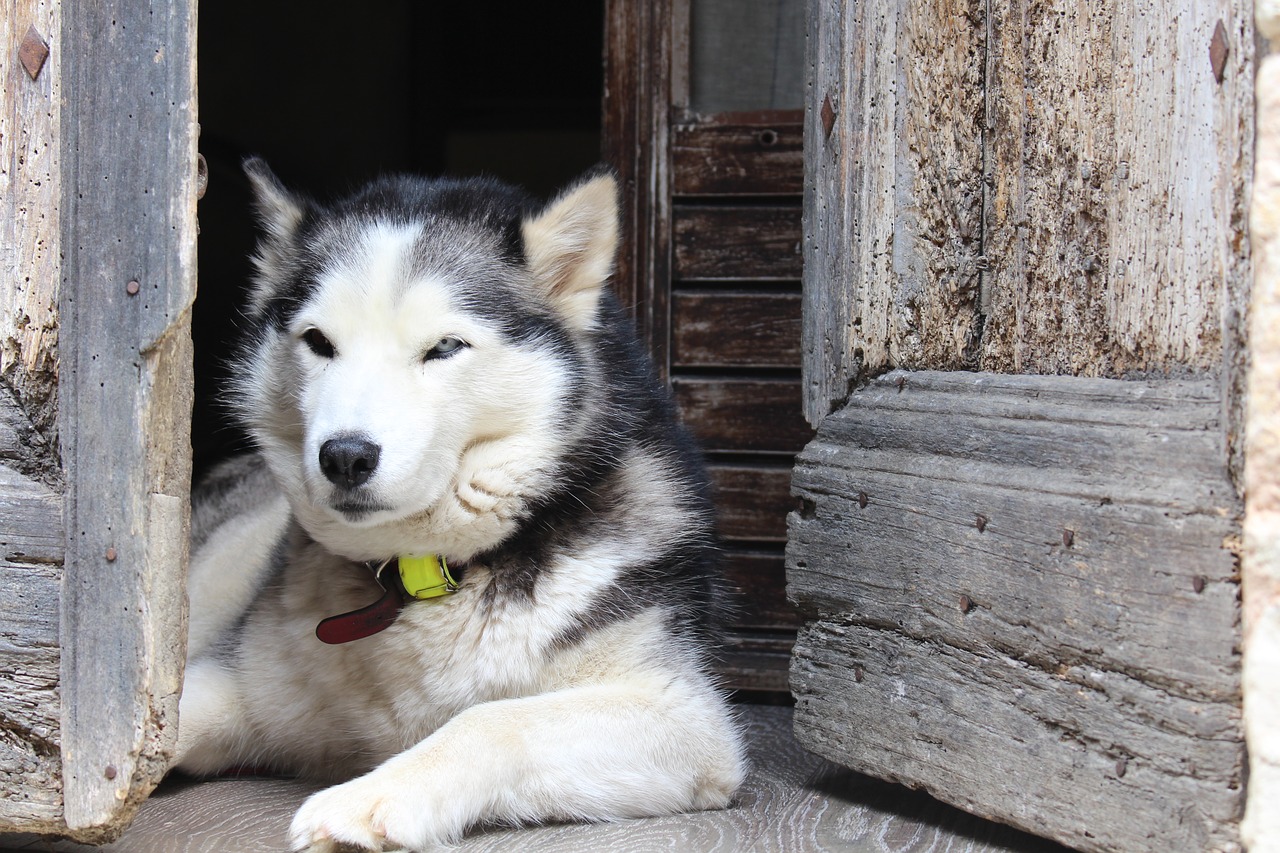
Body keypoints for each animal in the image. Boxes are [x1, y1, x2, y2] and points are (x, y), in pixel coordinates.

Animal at [175, 161, 747, 850]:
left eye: (444, 348)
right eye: (318, 341)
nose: (345, 456)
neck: (421, 577)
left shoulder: (684, 721)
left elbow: (493, 720)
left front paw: (370, 796)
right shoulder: (239, 678)